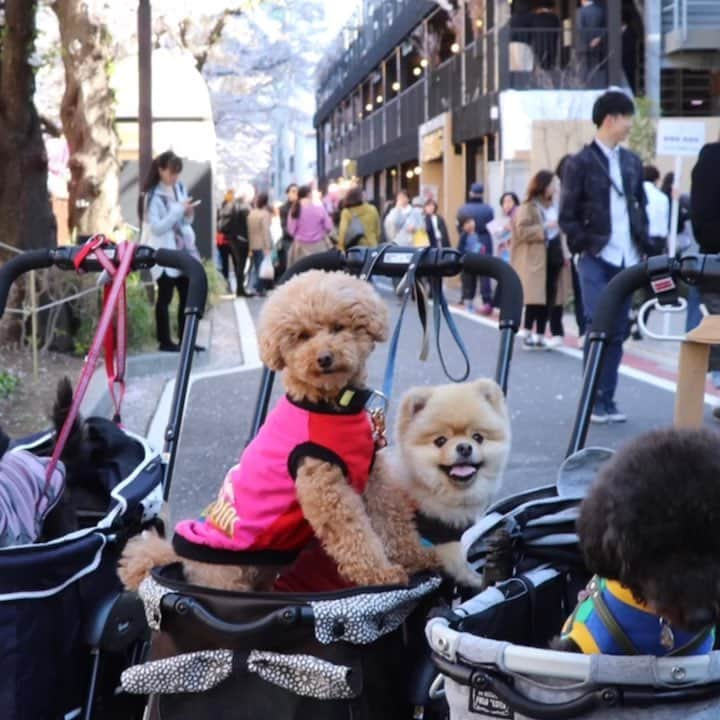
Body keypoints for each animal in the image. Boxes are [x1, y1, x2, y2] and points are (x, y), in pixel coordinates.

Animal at [366, 380, 512, 588]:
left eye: (478, 437)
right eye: (440, 441)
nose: (464, 447)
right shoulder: (439, 545)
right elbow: (460, 562)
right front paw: (481, 577)